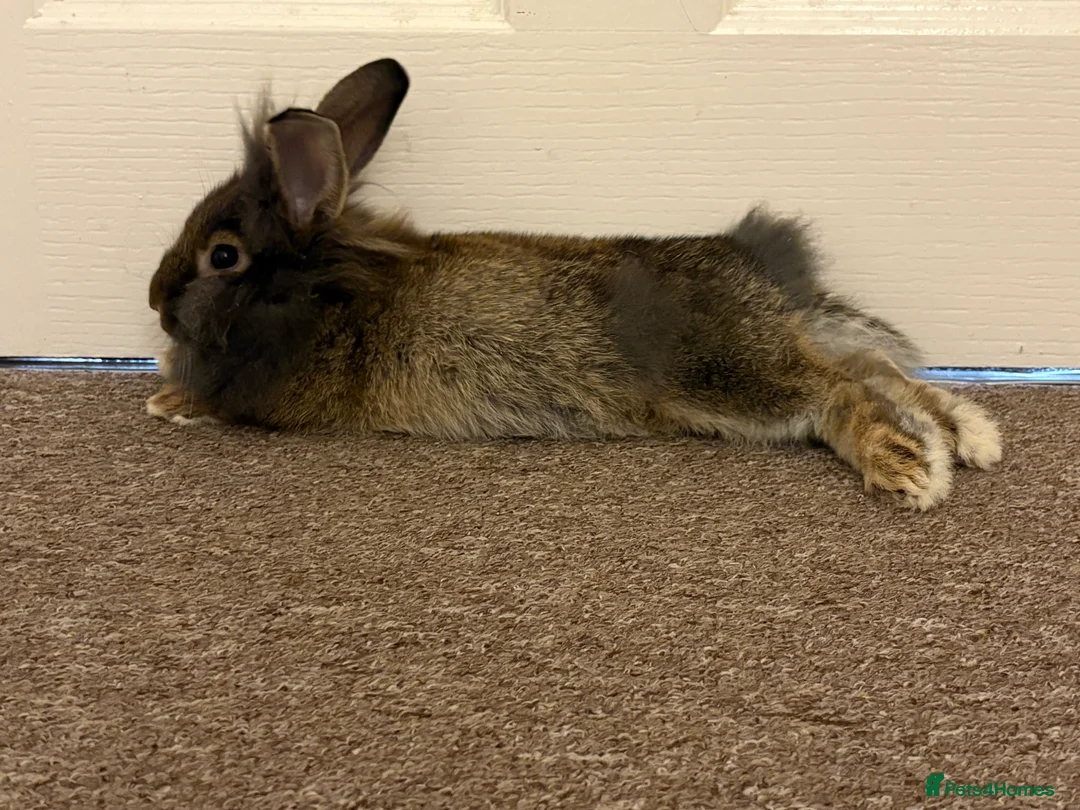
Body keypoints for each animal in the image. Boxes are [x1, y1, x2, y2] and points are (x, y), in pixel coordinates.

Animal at [147, 58, 1003, 509]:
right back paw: (972, 436)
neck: (321, 285)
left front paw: (167, 400)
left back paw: (910, 470)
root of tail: (760, 271)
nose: (155, 303)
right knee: (875, 367)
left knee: (841, 392)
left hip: (728, 375)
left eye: (222, 256)